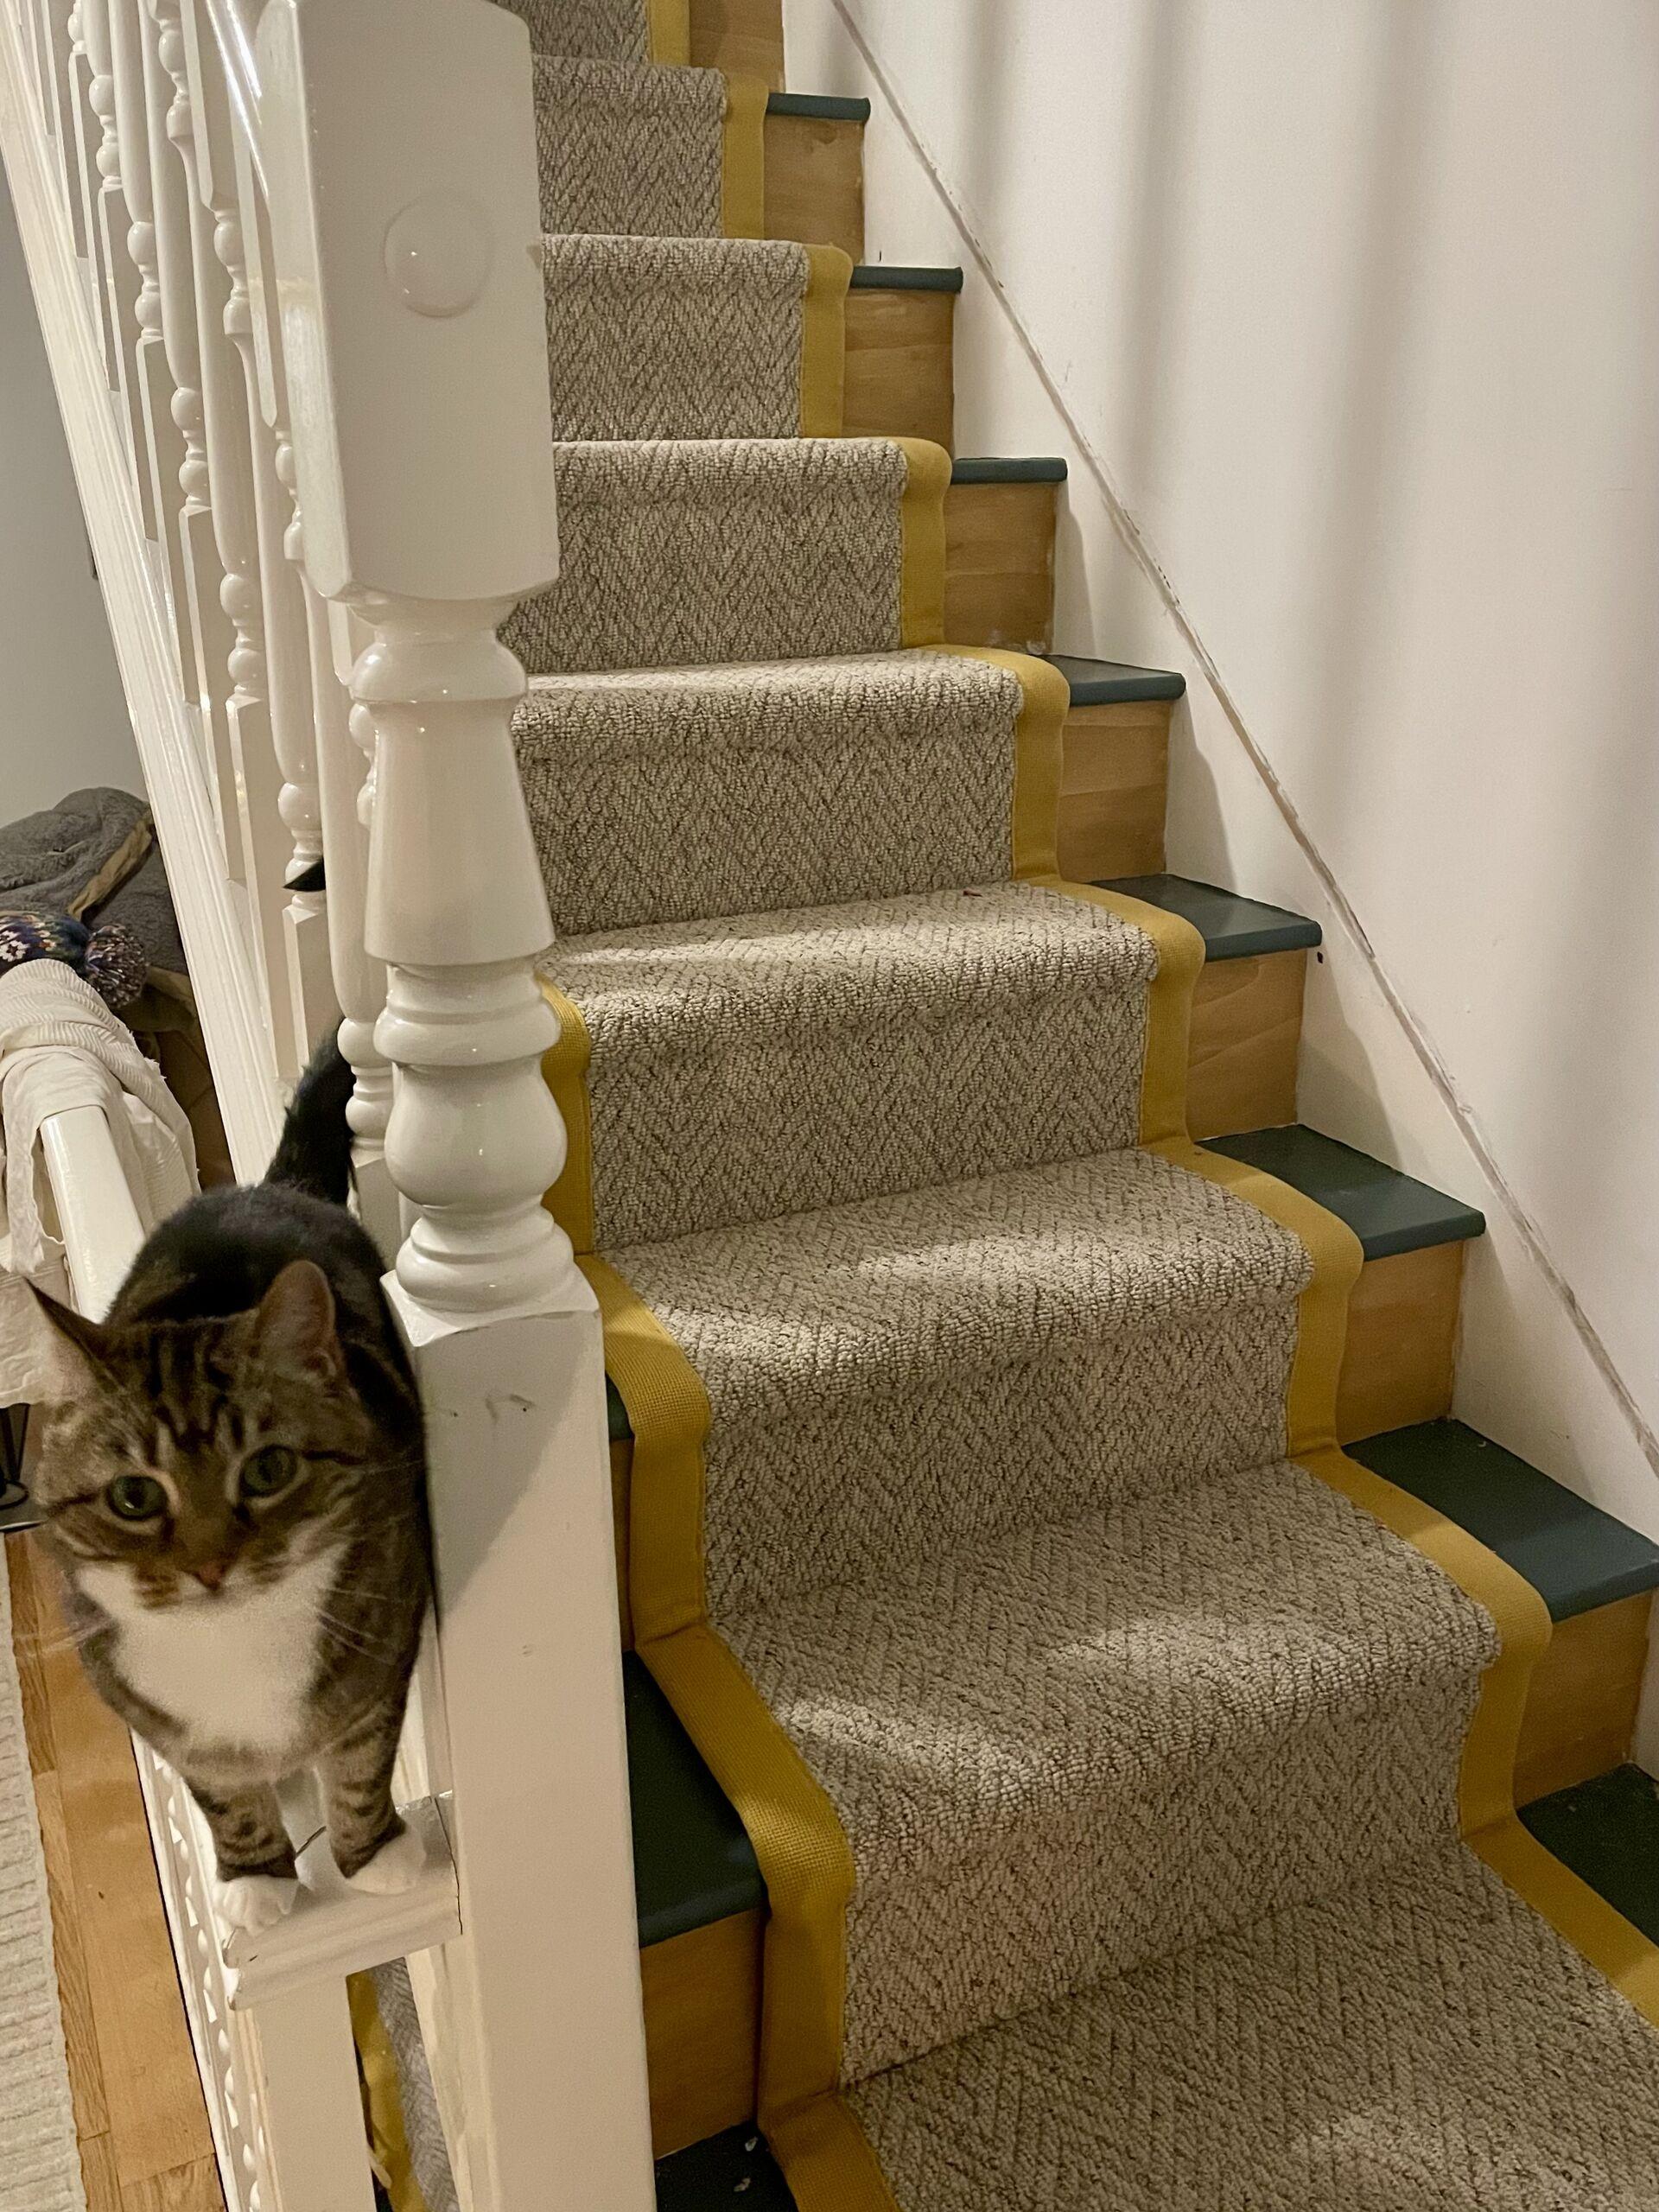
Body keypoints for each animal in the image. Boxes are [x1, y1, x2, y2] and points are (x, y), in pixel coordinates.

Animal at [28, 1044, 429, 1929]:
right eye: (134, 1497)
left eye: (268, 1470)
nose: (210, 1566)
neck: (235, 1643)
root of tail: (268, 1186)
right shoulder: (153, 1716)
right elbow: (219, 1792)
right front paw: (256, 1878)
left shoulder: (383, 1650)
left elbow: (361, 1761)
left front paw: (375, 1856)